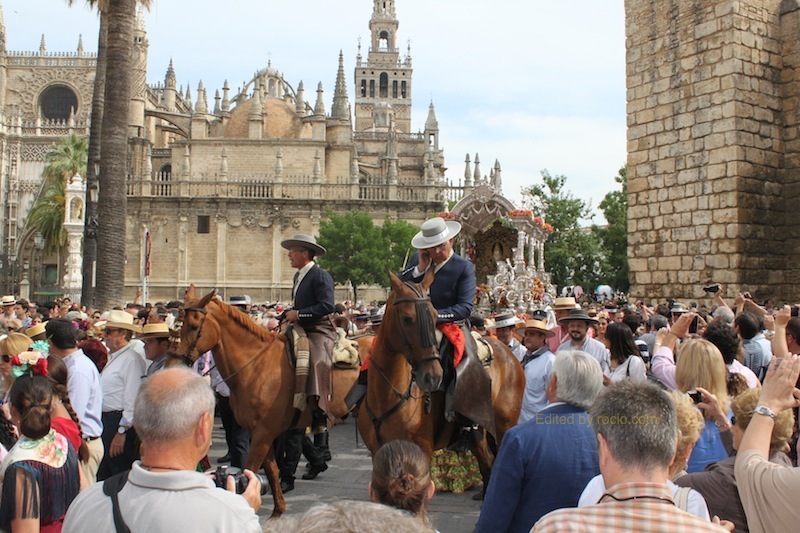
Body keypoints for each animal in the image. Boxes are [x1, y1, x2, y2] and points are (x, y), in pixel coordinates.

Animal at [357, 270, 525, 494]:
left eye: (436, 316)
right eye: (407, 319)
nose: (433, 377)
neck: (387, 395)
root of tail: (509, 353)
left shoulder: (421, 453)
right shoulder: (379, 454)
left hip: (505, 425)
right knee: (488, 464)